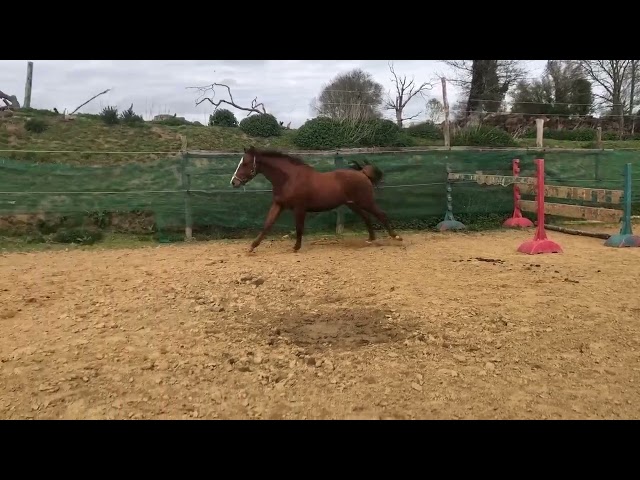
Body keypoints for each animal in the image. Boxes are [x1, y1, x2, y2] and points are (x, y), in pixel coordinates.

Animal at [230, 146, 403, 253]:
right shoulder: (278, 204)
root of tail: (362, 173)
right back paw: (370, 239)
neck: (289, 178)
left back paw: (396, 237)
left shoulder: (299, 208)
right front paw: (252, 247)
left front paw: (296, 247)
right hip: (353, 204)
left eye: (245, 163)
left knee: (381, 215)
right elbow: (267, 224)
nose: (234, 182)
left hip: (365, 201)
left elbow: (299, 227)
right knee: (367, 217)